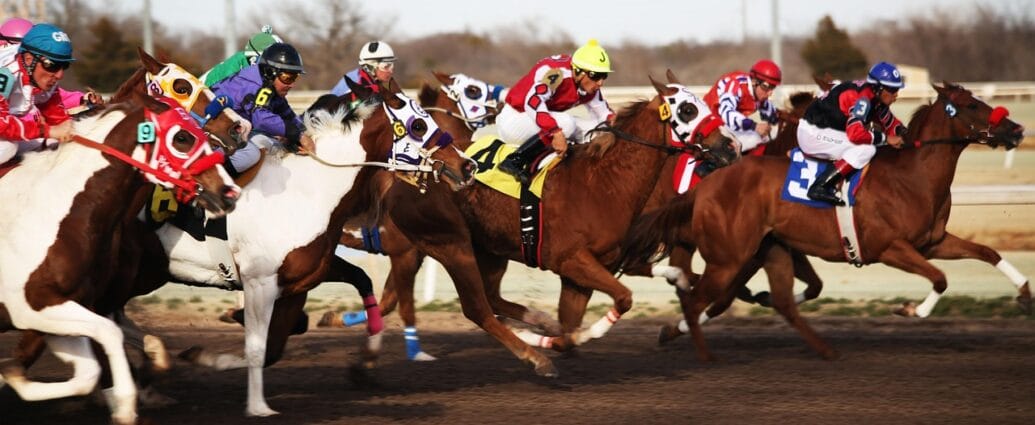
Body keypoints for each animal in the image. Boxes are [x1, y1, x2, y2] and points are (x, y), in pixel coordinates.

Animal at [0, 92, 239, 425]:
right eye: (182, 137)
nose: (230, 192)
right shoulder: (30, 308)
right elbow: (108, 334)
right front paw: (125, 402)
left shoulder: (61, 309)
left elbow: (88, 370)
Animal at [619, 82, 1027, 361]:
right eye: (973, 104)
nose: (1017, 130)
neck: (911, 177)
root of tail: (707, 185)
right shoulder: (889, 248)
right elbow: (940, 278)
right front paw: (911, 310)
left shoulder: (932, 242)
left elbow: (986, 253)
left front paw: (1024, 292)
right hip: (729, 251)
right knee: (698, 288)